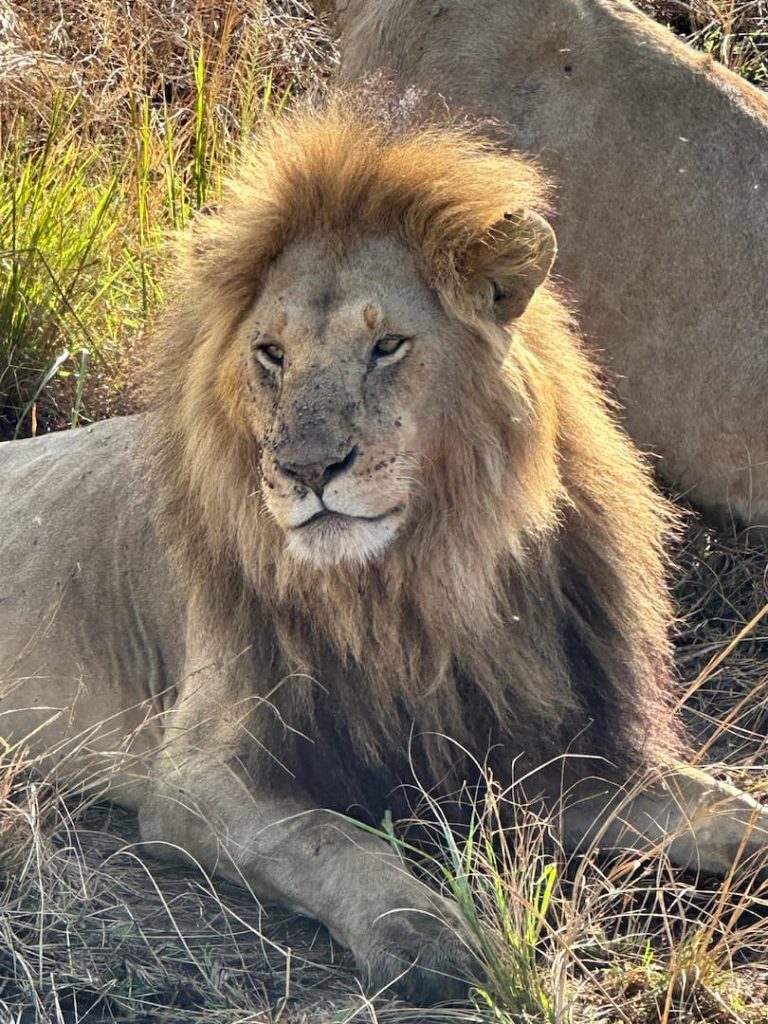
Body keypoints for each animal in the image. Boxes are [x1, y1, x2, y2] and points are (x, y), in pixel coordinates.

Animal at [2, 99, 767, 1006]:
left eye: (387, 346)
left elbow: (726, 810)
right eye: (270, 353)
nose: (306, 469)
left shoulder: (539, 751)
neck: (410, 586)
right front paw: (435, 937)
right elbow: (336, 840)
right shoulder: (193, 778)